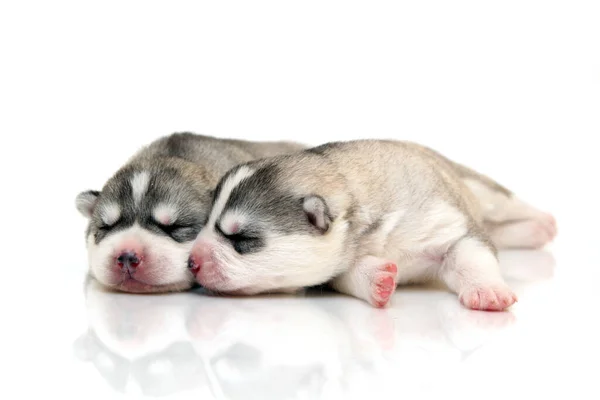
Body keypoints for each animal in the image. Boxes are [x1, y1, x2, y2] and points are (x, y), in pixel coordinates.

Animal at [189, 139, 556, 310]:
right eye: (205, 223)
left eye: (242, 238)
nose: (192, 262)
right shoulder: (334, 264)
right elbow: (348, 274)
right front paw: (378, 279)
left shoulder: (451, 225)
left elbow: (471, 253)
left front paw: (486, 290)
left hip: (478, 189)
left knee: (503, 205)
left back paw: (543, 224)